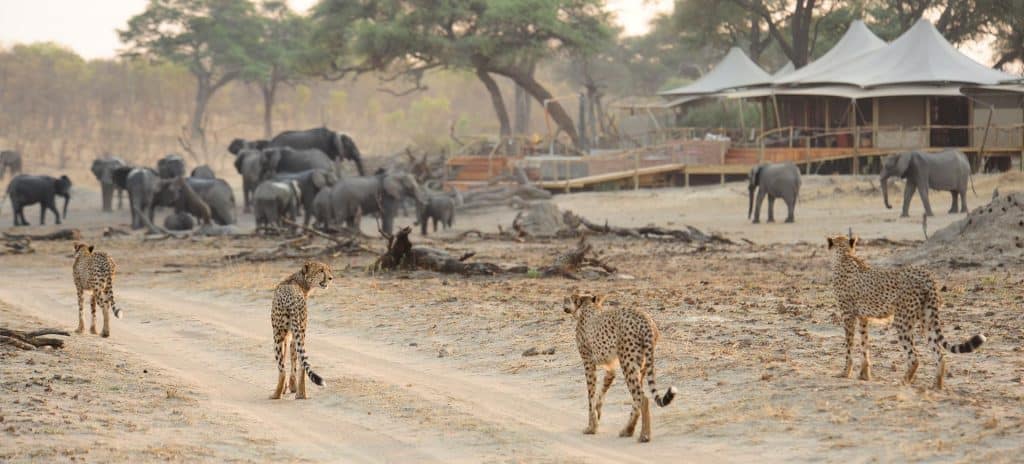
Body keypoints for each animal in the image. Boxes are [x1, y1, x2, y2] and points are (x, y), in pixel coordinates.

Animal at [270, 260, 332, 400]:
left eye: (328, 270)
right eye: (321, 270)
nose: (331, 278)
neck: (300, 280)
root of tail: (291, 297)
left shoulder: (285, 336)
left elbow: (286, 360)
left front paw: (286, 388)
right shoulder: (293, 335)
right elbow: (294, 359)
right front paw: (292, 387)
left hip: (277, 335)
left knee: (282, 369)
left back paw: (276, 394)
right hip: (301, 331)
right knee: (302, 363)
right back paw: (301, 394)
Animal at [563, 291, 678, 443]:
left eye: (567, 300)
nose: (563, 306)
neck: (588, 306)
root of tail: (645, 318)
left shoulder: (588, 363)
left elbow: (591, 397)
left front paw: (591, 427)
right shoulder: (610, 369)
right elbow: (600, 395)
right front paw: (597, 415)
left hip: (627, 363)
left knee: (642, 398)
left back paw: (644, 435)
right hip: (641, 365)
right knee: (637, 399)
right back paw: (628, 430)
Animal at [827, 234, 986, 389]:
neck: (844, 255)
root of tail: (924, 272)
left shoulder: (848, 316)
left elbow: (849, 346)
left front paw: (845, 372)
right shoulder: (863, 318)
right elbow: (864, 345)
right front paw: (864, 375)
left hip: (902, 321)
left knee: (914, 357)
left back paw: (903, 382)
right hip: (928, 319)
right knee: (939, 354)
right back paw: (936, 386)